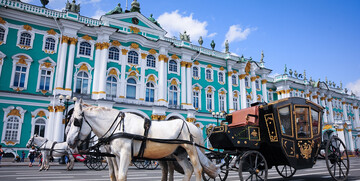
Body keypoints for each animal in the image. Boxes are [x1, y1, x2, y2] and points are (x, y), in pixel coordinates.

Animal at [65, 100, 217, 181]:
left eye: (76, 122)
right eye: (69, 121)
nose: (69, 142)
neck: (118, 126)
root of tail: (194, 126)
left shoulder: (126, 154)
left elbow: (120, 176)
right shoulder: (116, 156)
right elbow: (117, 175)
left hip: (191, 149)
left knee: (197, 169)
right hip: (179, 152)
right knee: (187, 170)